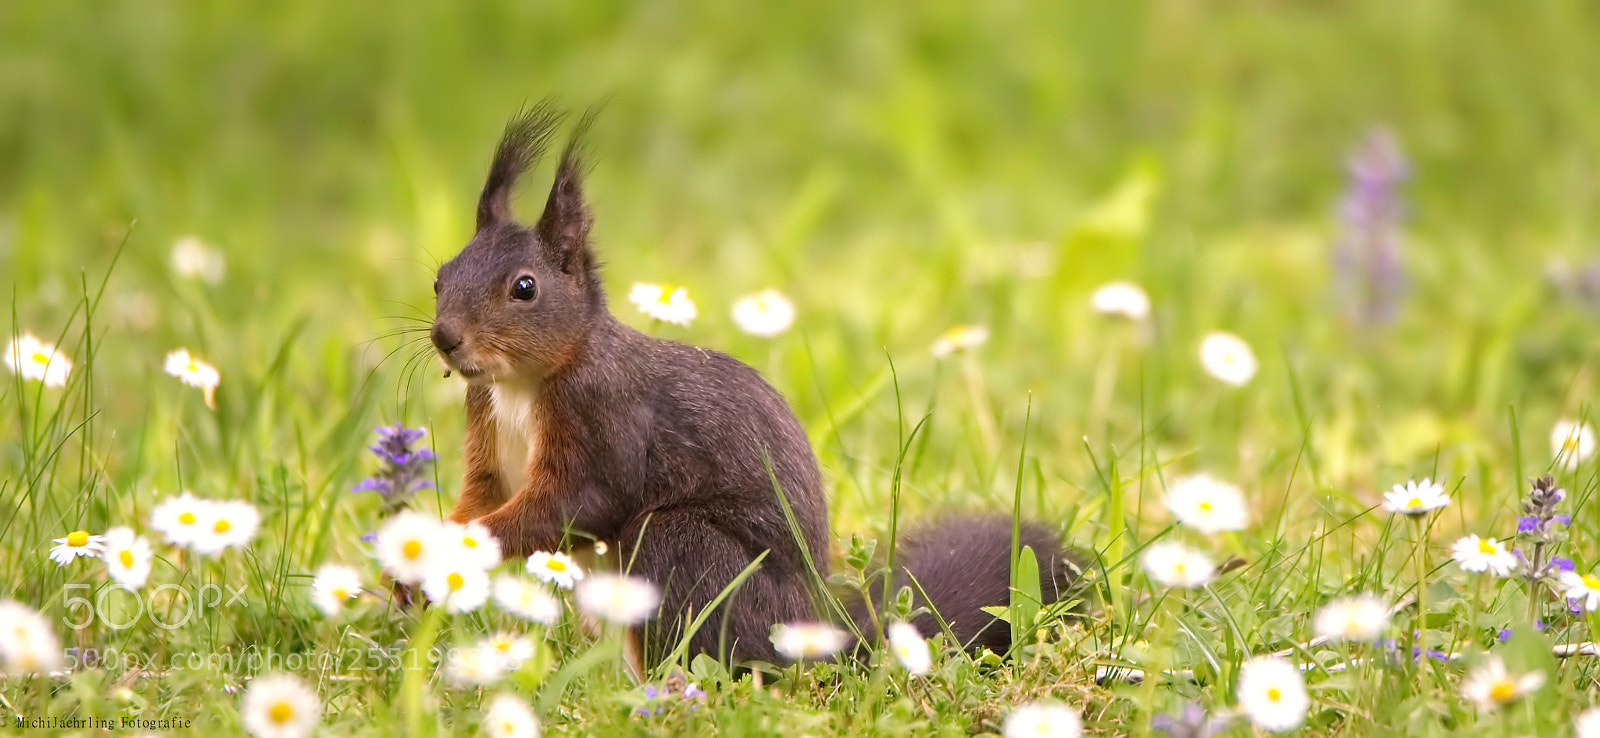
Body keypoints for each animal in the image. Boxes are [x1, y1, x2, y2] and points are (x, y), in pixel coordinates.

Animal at [429, 104, 1086, 666]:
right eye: (440, 277)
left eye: (524, 287)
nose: (445, 338)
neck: (521, 385)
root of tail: (814, 641)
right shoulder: (487, 431)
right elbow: (483, 495)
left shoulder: (605, 422)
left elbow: (573, 505)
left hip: (687, 553)